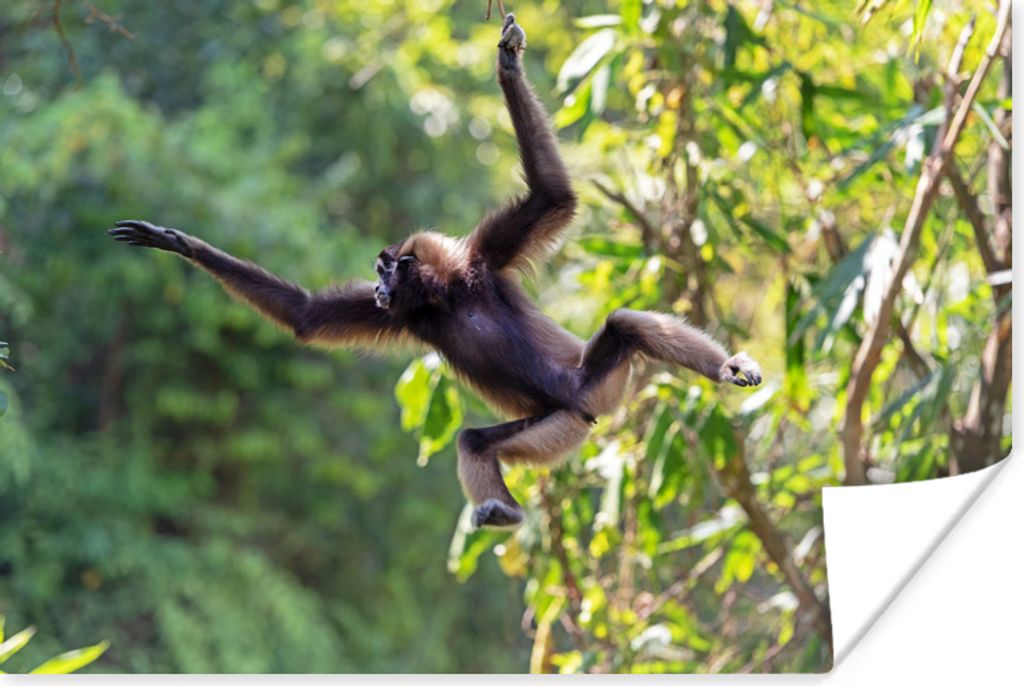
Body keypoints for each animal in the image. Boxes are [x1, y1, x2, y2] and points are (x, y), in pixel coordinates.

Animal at [108, 14, 762, 529]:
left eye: (381, 271)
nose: (377, 288)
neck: (444, 297)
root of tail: (583, 406)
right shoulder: (409, 316)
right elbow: (306, 318)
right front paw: (177, 243)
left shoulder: (483, 263)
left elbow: (553, 198)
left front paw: (507, 66)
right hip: (557, 424)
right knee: (477, 439)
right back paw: (502, 511)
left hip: (589, 386)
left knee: (623, 326)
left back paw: (725, 367)